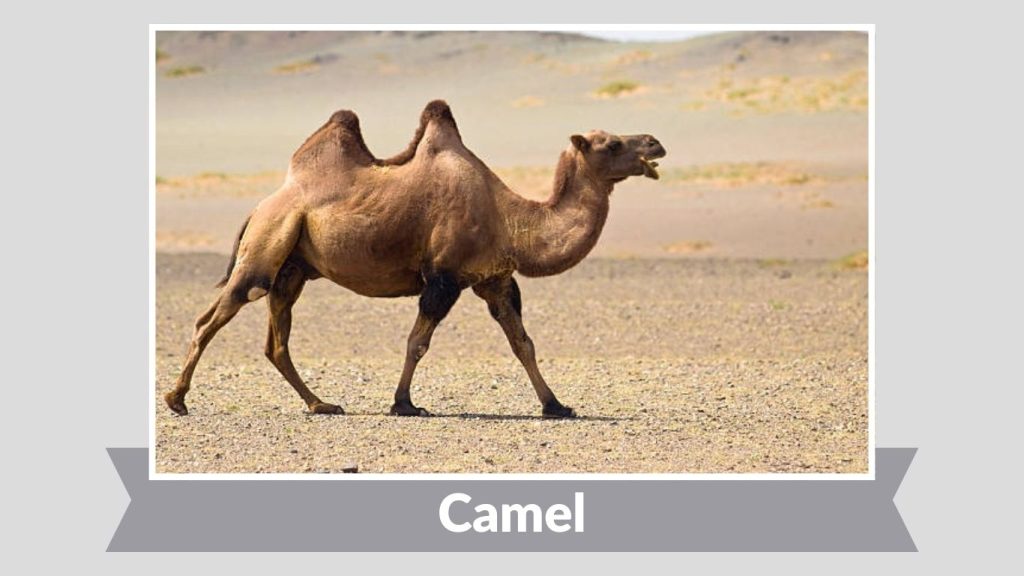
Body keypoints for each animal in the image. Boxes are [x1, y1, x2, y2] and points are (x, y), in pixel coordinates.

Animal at [165, 100, 666, 418]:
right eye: (611, 144)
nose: (655, 143)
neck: (508, 217)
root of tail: (261, 205)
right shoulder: (443, 277)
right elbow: (417, 342)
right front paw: (404, 404)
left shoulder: (494, 279)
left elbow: (523, 343)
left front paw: (556, 406)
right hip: (266, 246)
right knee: (215, 316)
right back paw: (177, 399)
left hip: (293, 268)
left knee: (276, 340)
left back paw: (321, 404)